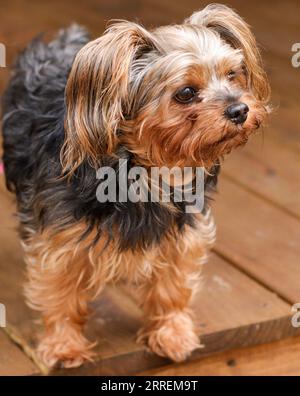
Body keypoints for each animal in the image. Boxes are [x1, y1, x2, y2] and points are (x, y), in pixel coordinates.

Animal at [1, 3, 270, 368]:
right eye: (186, 93)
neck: (145, 169)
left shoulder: (183, 231)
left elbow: (172, 286)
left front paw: (172, 333)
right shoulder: (59, 238)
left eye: (232, 74)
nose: (240, 109)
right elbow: (60, 294)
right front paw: (64, 346)